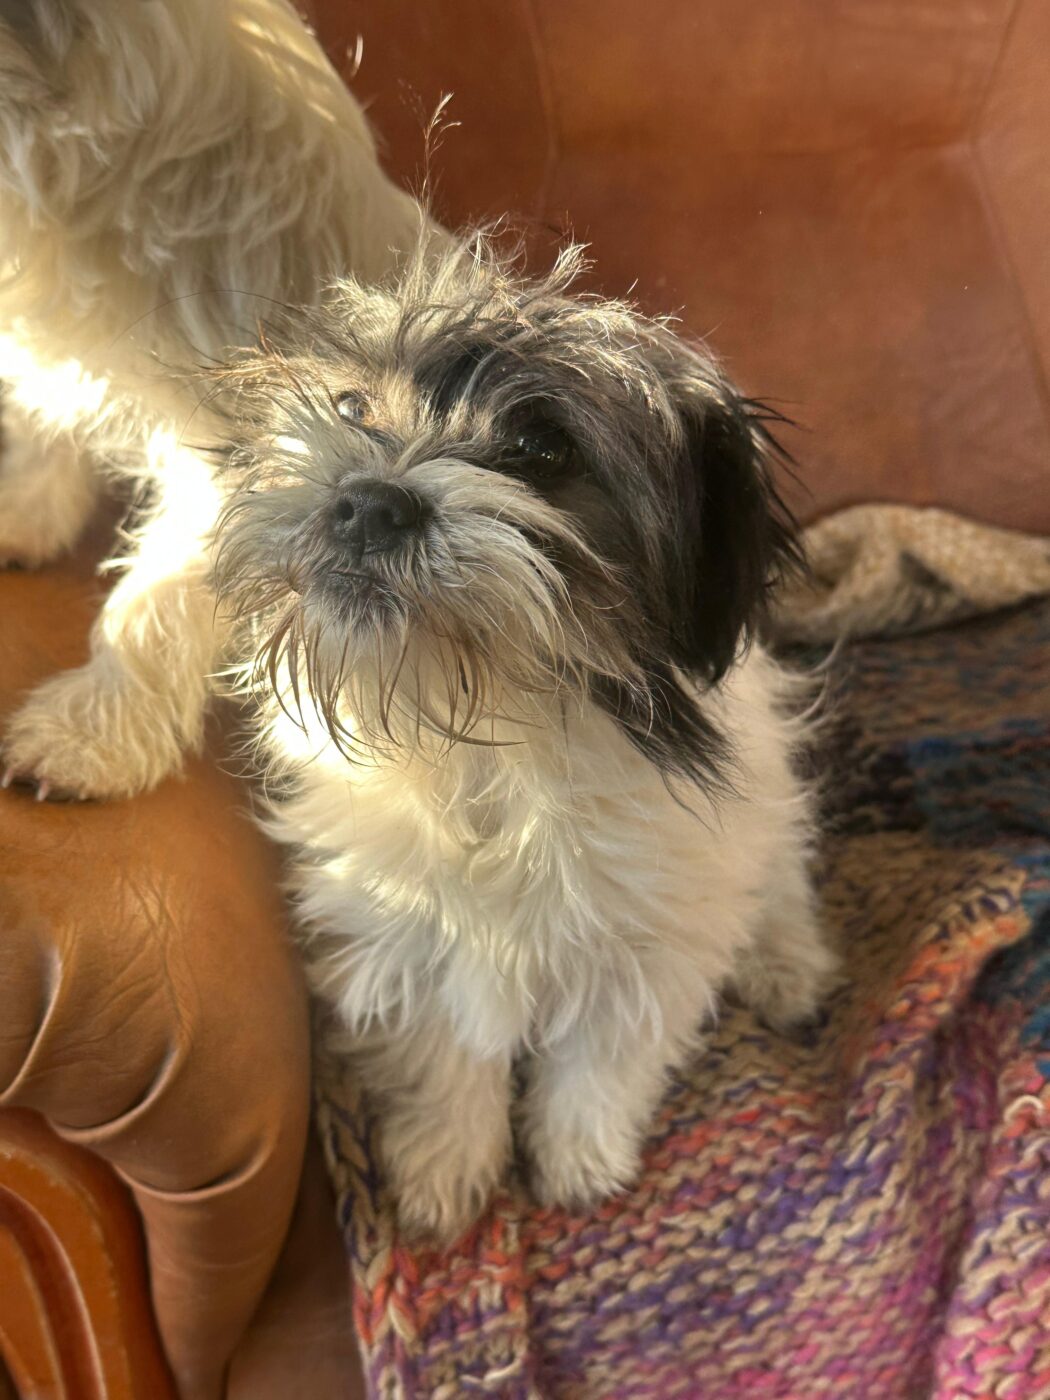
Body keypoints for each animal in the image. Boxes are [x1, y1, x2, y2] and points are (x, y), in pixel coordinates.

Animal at [0, 0, 837, 1240]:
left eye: (540, 446)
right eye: (351, 408)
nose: (369, 495)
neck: (488, 728)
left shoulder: (643, 941)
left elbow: (601, 1059)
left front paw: (578, 1160)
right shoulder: (406, 933)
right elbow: (452, 1058)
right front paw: (449, 1168)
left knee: (774, 877)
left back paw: (787, 965)